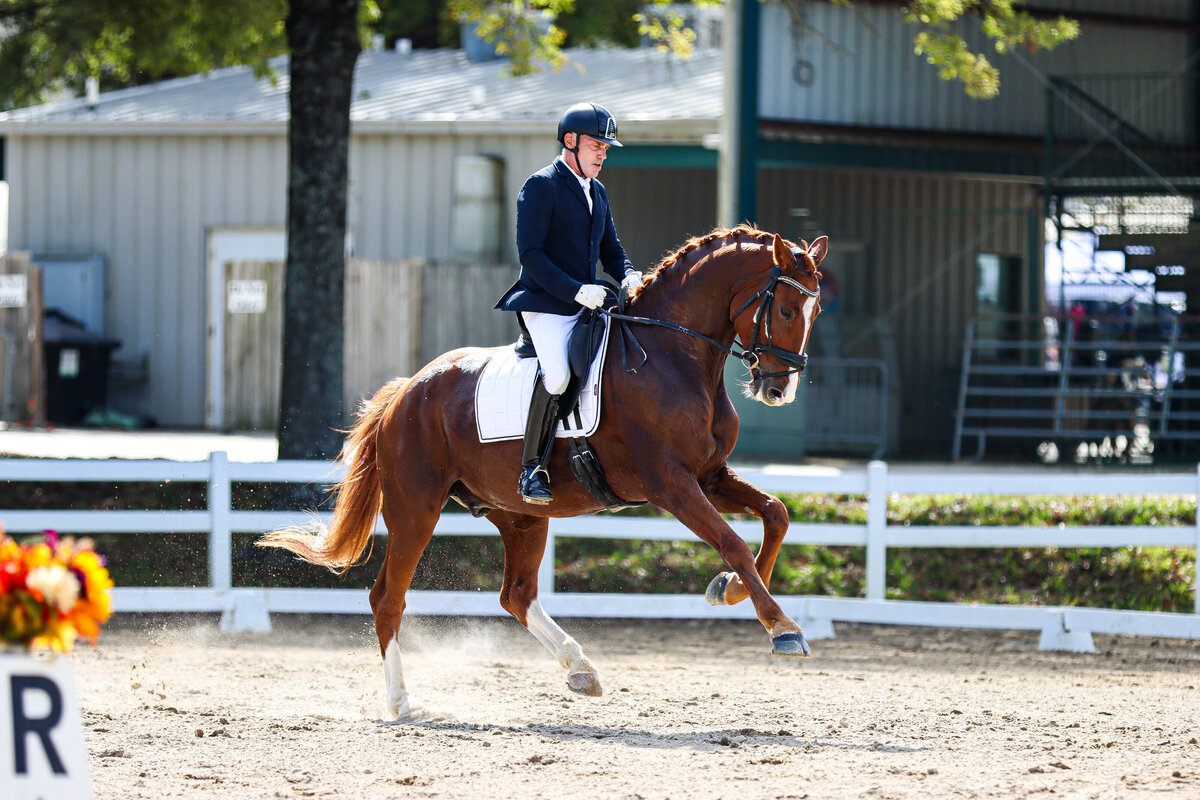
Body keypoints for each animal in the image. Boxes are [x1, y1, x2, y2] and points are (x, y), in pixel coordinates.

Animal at [259, 224, 828, 720]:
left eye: (815, 309)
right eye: (783, 307)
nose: (780, 390)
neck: (674, 355)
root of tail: (407, 390)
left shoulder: (709, 475)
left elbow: (776, 515)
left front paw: (728, 591)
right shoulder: (671, 483)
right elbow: (731, 541)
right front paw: (783, 628)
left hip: (519, 514)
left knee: (517, 594)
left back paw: (581, 668)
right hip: (415, 508)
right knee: (388, 598)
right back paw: (401, 703)